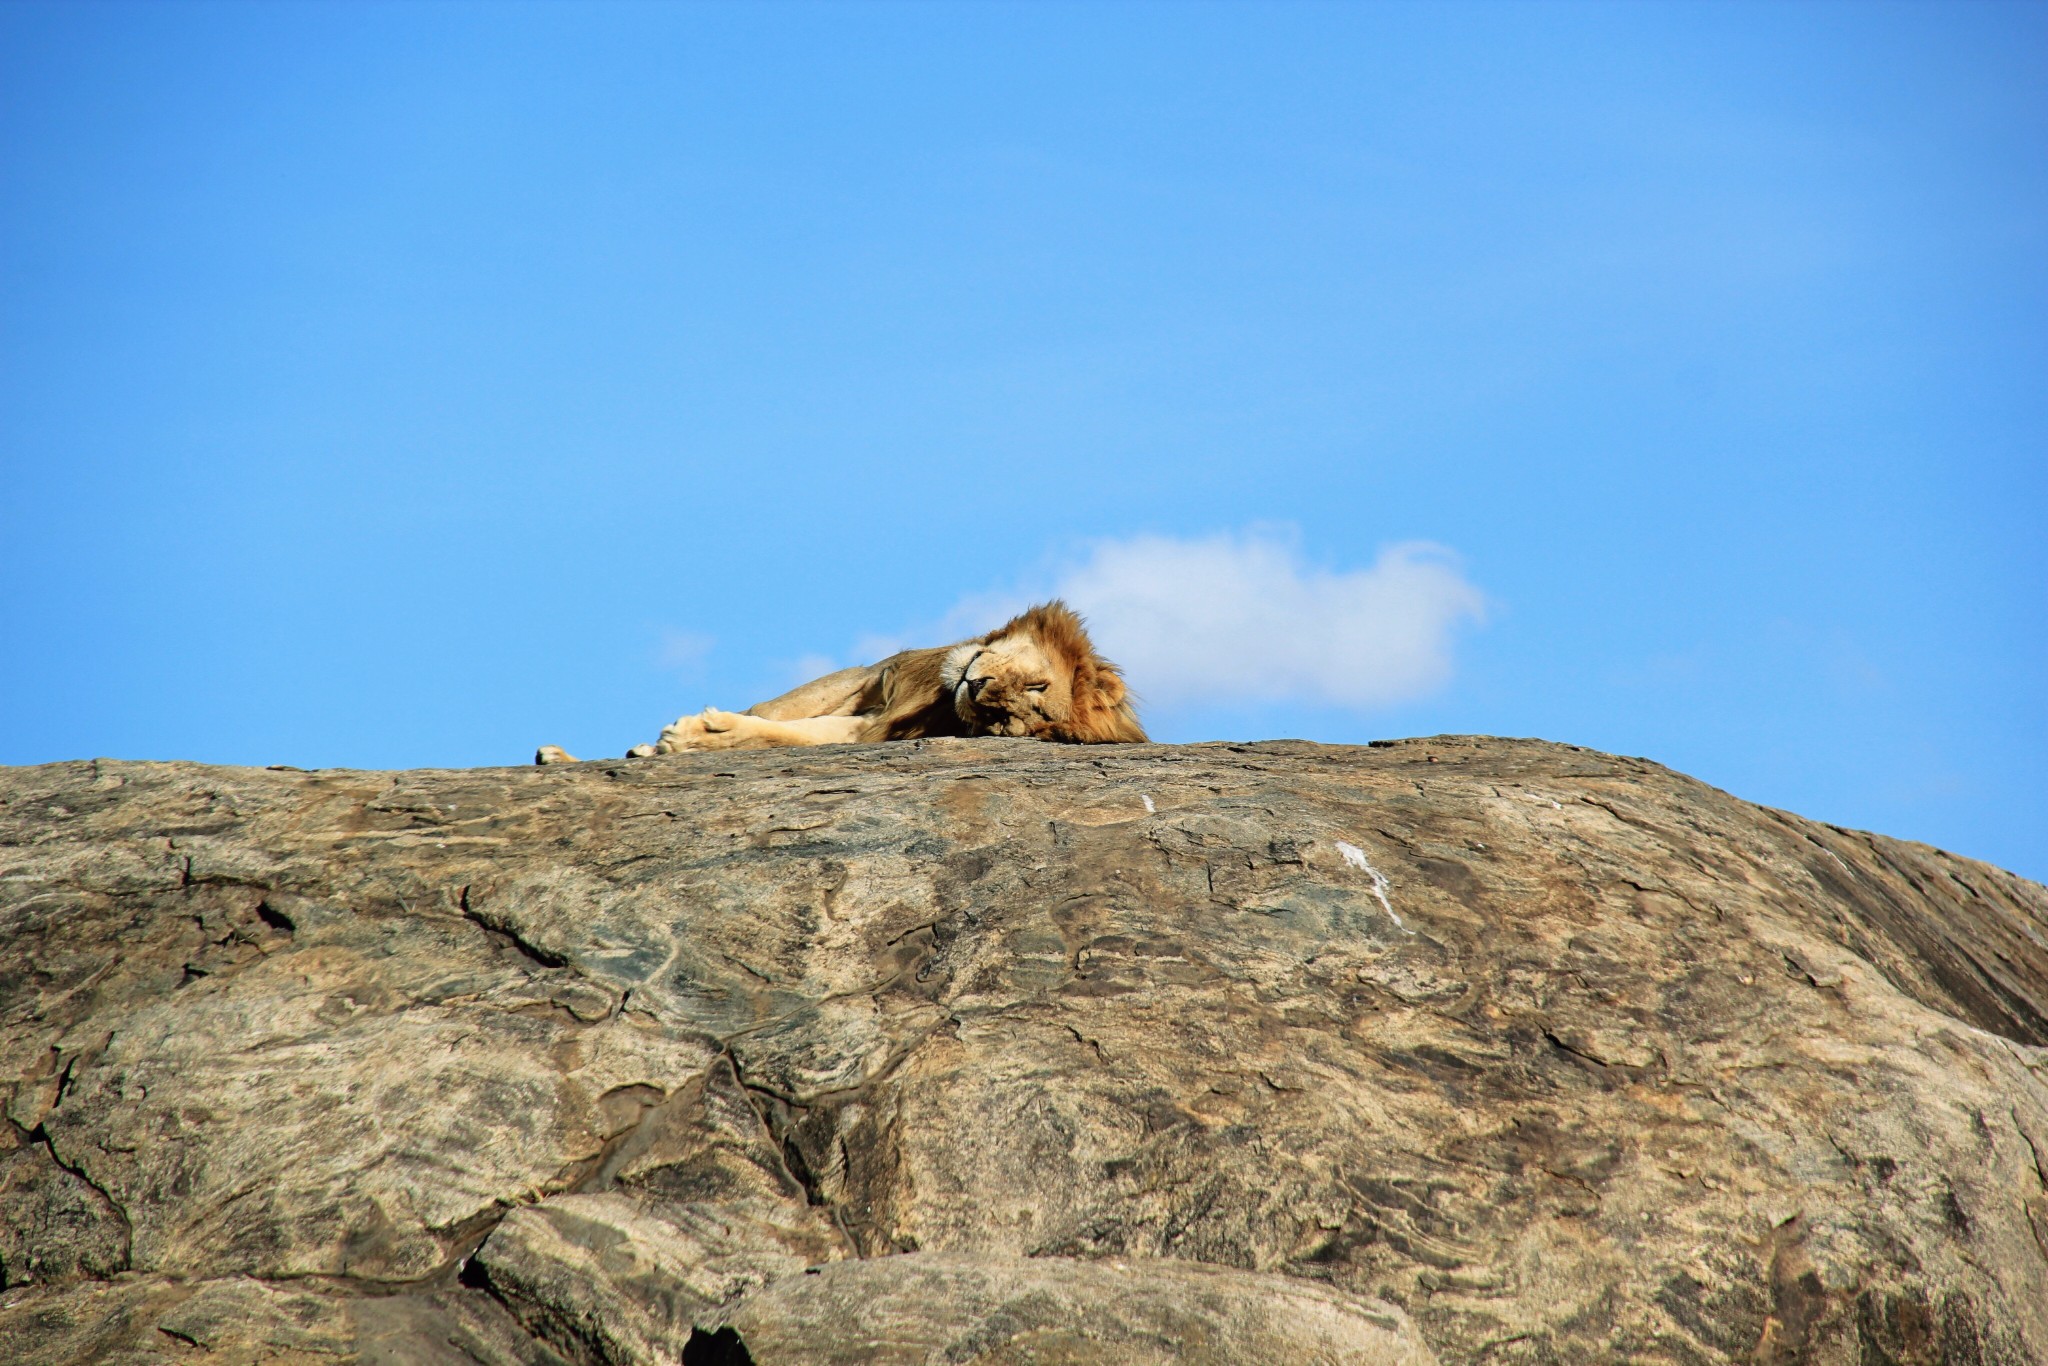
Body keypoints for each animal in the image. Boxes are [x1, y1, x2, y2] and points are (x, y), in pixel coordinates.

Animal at [536, 602, 1146, 765]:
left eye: (1014, 720)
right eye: (1038, 688)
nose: (979, 692)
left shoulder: (873, 730)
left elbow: (783, 733)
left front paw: (699, 737)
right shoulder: (868, 678)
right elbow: (772, 711)